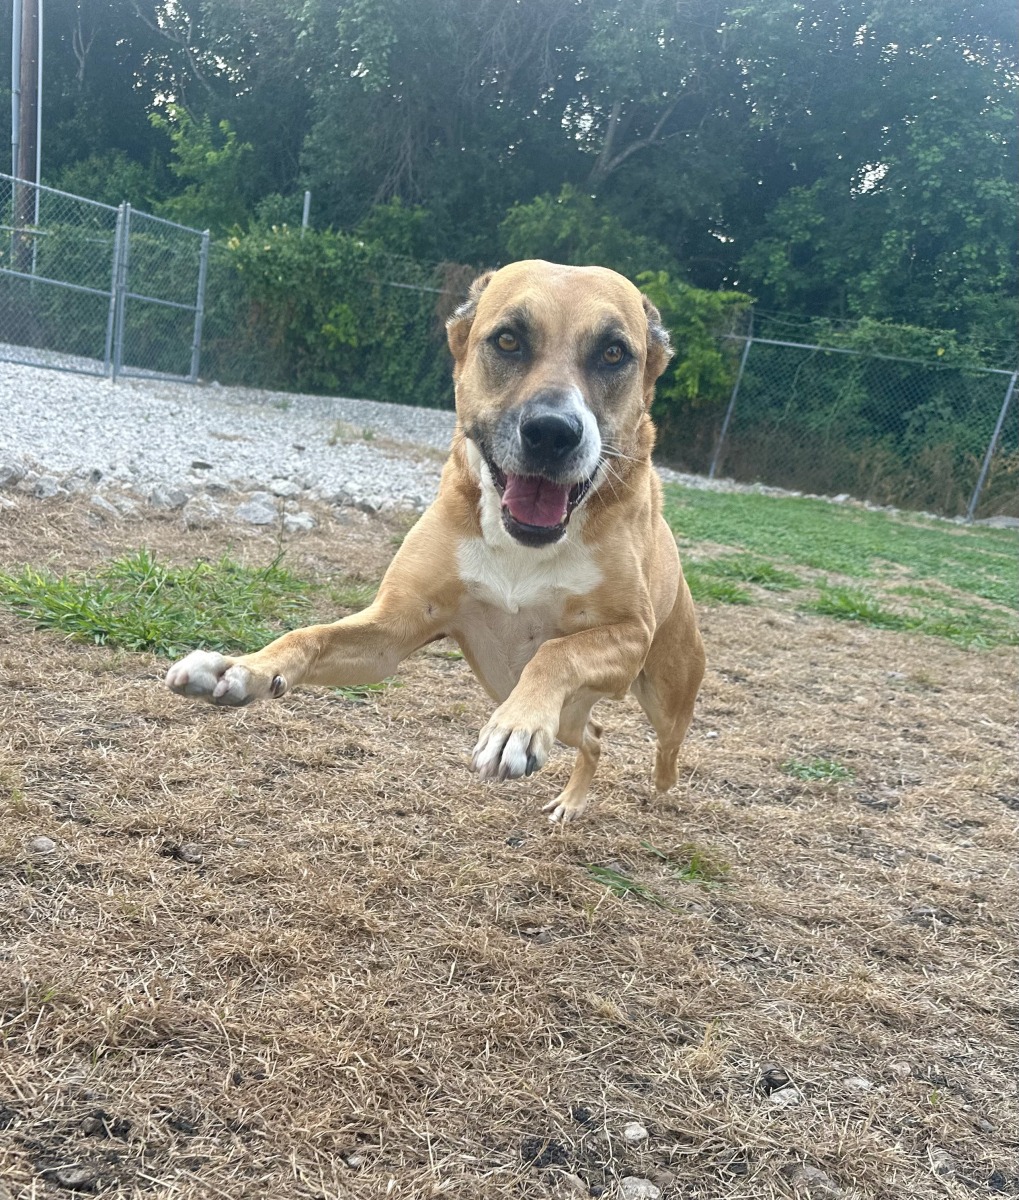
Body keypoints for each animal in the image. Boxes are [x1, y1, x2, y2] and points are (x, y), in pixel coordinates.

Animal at [165, 260, 705, 823]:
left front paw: (515, 726)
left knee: (666, 741)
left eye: (614, 352)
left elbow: (558, 651)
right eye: (508, 340)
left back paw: (659, 782)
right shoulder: (394, 629)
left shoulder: (630, 633)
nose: (553, 433)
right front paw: (241, 668)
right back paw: (572, 798)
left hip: (663, 689)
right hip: (534, 697)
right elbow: (307, 635)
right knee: (594, 735)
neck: (524, 548)